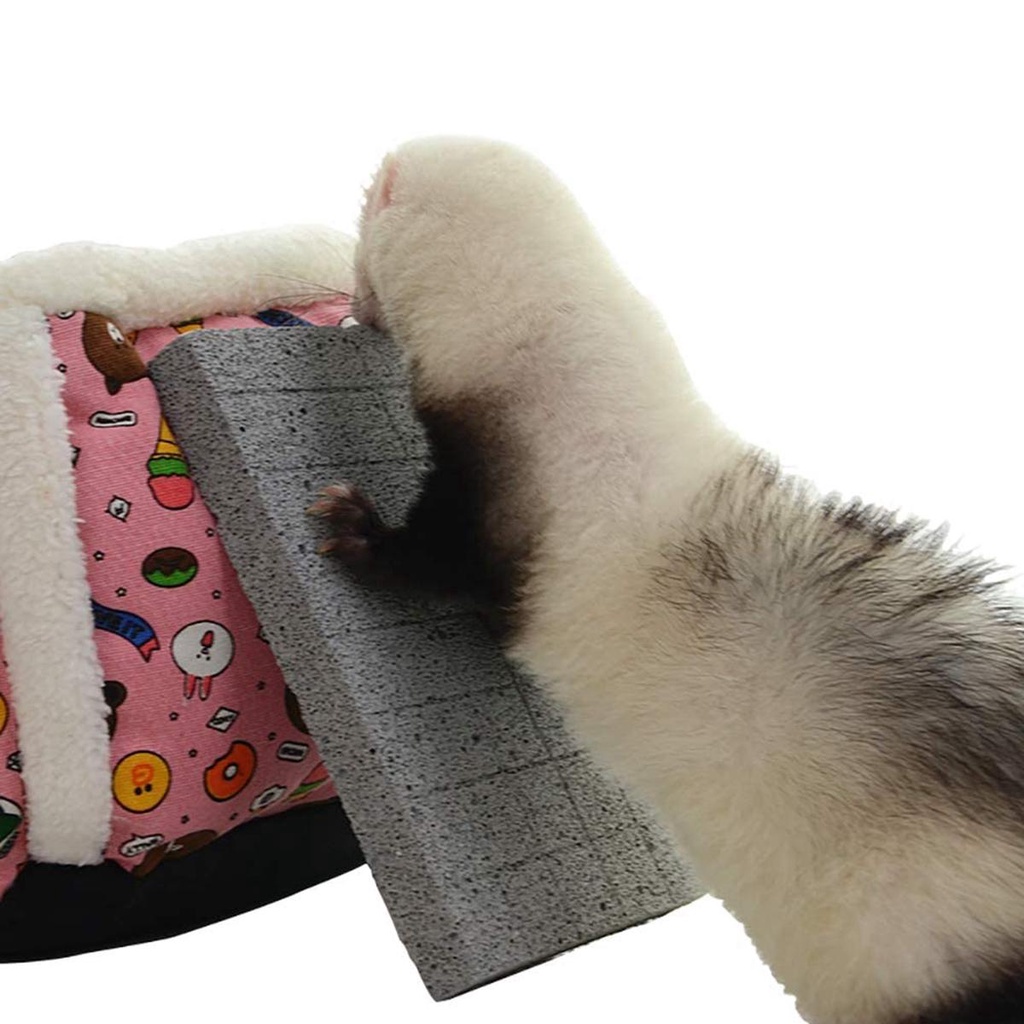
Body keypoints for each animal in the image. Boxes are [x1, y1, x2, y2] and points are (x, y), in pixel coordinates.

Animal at [311, 137, 1024, 1024]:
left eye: (359, 214)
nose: (346, 302)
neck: (585, 388)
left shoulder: (487, 523)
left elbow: (435, 567)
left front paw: (353, 525)